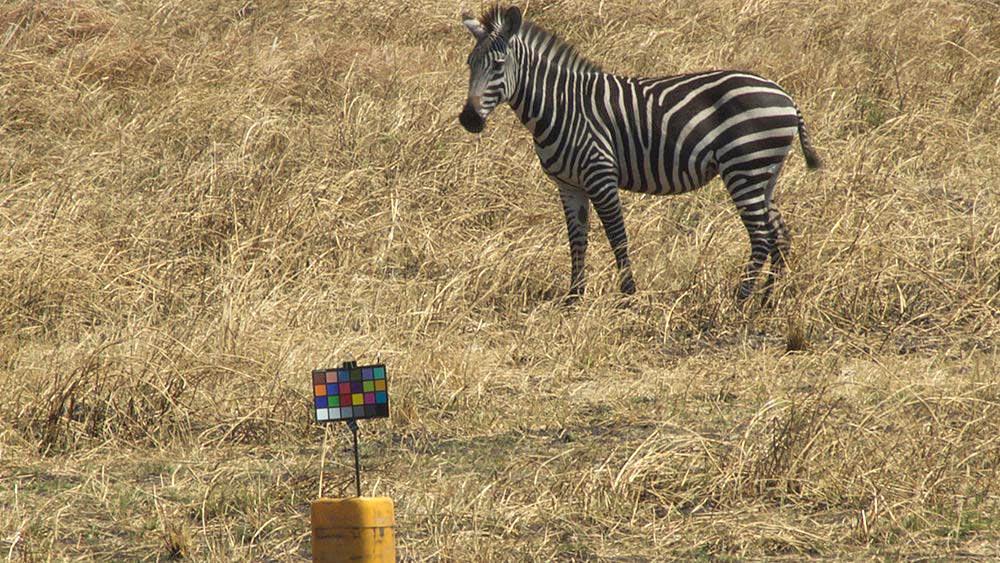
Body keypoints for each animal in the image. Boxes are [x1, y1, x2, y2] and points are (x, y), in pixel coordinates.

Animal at [458, 5, 820, 304]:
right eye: (469, 64)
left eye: (498, 66)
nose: (468, 120)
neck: (560, 106)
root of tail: (785, 96)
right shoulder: (569, 186)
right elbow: (577, 239)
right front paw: (574, 298)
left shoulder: (600, 175)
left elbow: (617, 237)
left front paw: (628, 296)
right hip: (764, 174)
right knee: (779, 234)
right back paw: (766, 301)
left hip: (744, 168)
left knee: (761, 237)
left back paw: (738, 301)